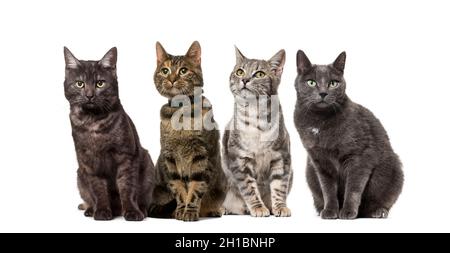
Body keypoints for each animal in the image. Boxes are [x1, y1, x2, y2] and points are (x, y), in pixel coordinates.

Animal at [148, 41, 227, 221]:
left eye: (183, 71)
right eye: (165, 71)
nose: (172, 79)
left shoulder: (201, 155)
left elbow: (196, 187)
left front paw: (190, 211)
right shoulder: (170, 157)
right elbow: (178, 188)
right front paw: (180, 210)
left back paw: (214, 210)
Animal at [223, 48, 294, 217]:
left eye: (259, 74)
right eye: (240, 72)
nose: (245, 79)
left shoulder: (281, 157)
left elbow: (279, 187)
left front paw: (280, 206)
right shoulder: (240, 160)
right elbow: (249, 189)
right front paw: (258, 207)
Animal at [296, 50, 404, 218]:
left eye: (333, 83)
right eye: (311, 82)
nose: (323, 93)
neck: (320, 122)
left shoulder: (359, 157)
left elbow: (353, 188)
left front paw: (347, 212)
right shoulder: (319, 161)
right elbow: (328, 190)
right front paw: (330, 211)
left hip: (393, 167)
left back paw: (378, 211)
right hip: (309, 172)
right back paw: (321, 210)